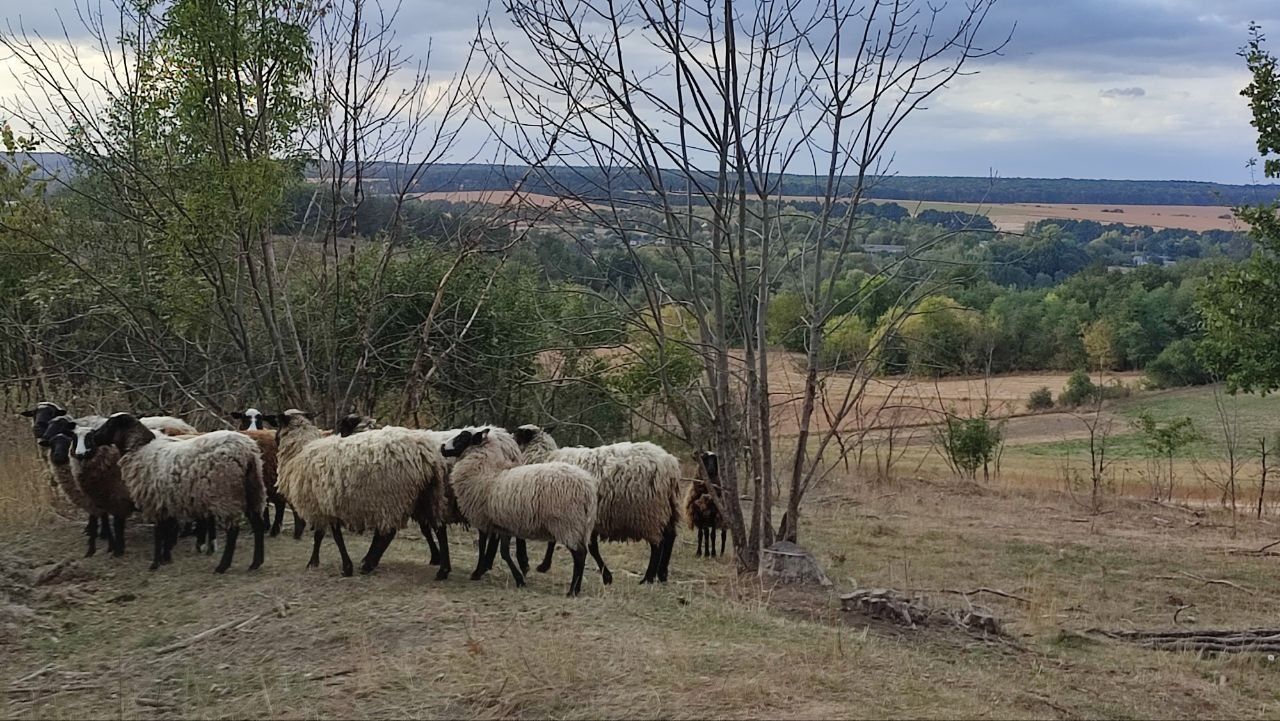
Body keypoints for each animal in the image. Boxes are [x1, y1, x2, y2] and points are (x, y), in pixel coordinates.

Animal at [93, 412, 268, 576]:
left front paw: (155, 563)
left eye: (109, 424)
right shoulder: (164, 501)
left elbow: (159, 533)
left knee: (233, 531)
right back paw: (256, 563)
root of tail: (247, 452)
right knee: (258, 525)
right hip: (252, 490)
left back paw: (222, 566)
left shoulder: (153, 501)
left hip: (227, 493)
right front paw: (166, 558)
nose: (93, 437)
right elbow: (166, 530)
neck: (139, 450)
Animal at [273, 412, 450, 581]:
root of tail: (425, 452)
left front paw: (337, 566)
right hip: (428, 494)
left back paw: (368, 564)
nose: (274, 439)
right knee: (439, 527)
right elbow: (325, 535)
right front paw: (320, 562)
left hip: (392, 496)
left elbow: (330, 536)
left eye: (278, 427)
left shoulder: (321, 505)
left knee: (389, 533)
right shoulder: (326, 505)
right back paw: (443, 570)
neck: (299, 451)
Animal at [442, 427, 596, 599]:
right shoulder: (503, 525)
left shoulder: (484, 520)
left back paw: (572, 591)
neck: (486, 473)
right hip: (580, 526)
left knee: (579, 555)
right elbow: (504, 552)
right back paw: (576, 588)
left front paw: (477, 573)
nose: (442, 447)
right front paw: (519, 579)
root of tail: (588, 488)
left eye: (462, 438)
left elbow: (483, 546)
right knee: (583, 552)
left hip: (568, 523)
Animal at [514, 422, 686, 586]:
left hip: (649, 512)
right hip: (668, 507)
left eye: (517, 434)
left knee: (657, 544)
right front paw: (606, 576)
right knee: (670, 536)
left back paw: (648, 578)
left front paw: (543, 566)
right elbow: (587, 547)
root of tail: (670, 465)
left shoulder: (563, 512)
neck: (545, 457)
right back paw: (662, 575)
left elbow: (581, 546)